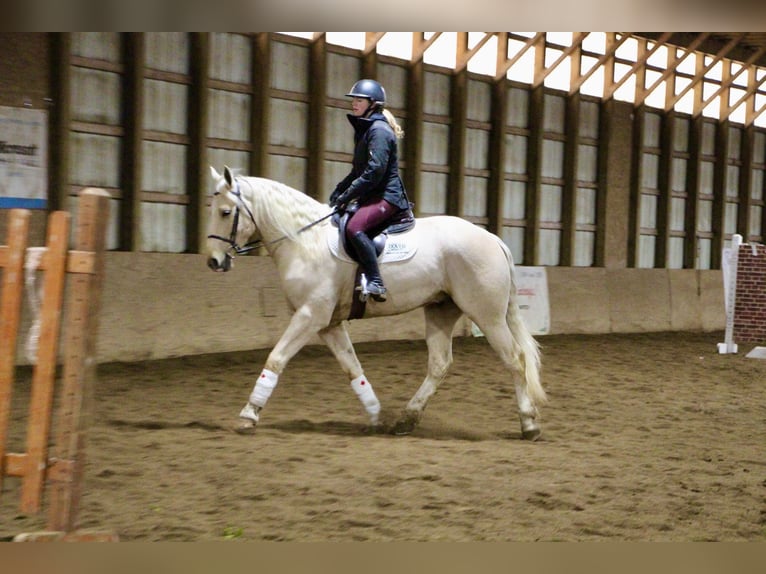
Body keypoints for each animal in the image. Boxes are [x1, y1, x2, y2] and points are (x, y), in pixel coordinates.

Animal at [207, 166, 548, 440]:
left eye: (225, 212)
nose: (214, 261)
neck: (305, 242)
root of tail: (492, 239)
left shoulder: (310, 316)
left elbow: (276, 359)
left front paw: (248, 416)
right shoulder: (329, 325)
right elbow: (352, 369)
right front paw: (375, 415)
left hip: (487, 315)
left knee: (515, 360)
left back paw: (529, 425)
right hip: (441, 310)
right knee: (439, 364)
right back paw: (406, 420)